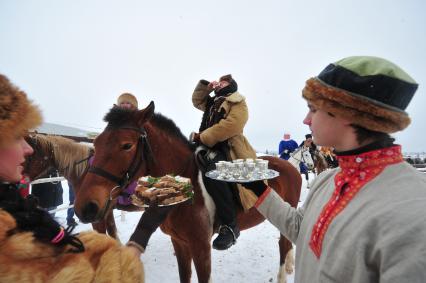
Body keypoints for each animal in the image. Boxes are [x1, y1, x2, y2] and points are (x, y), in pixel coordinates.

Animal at [73, 102, 302, 283]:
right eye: (96, 143)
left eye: (126, 145)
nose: (85, 207)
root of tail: (290, 166)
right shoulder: (180, 243)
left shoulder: (201, 247)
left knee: (283, 245)